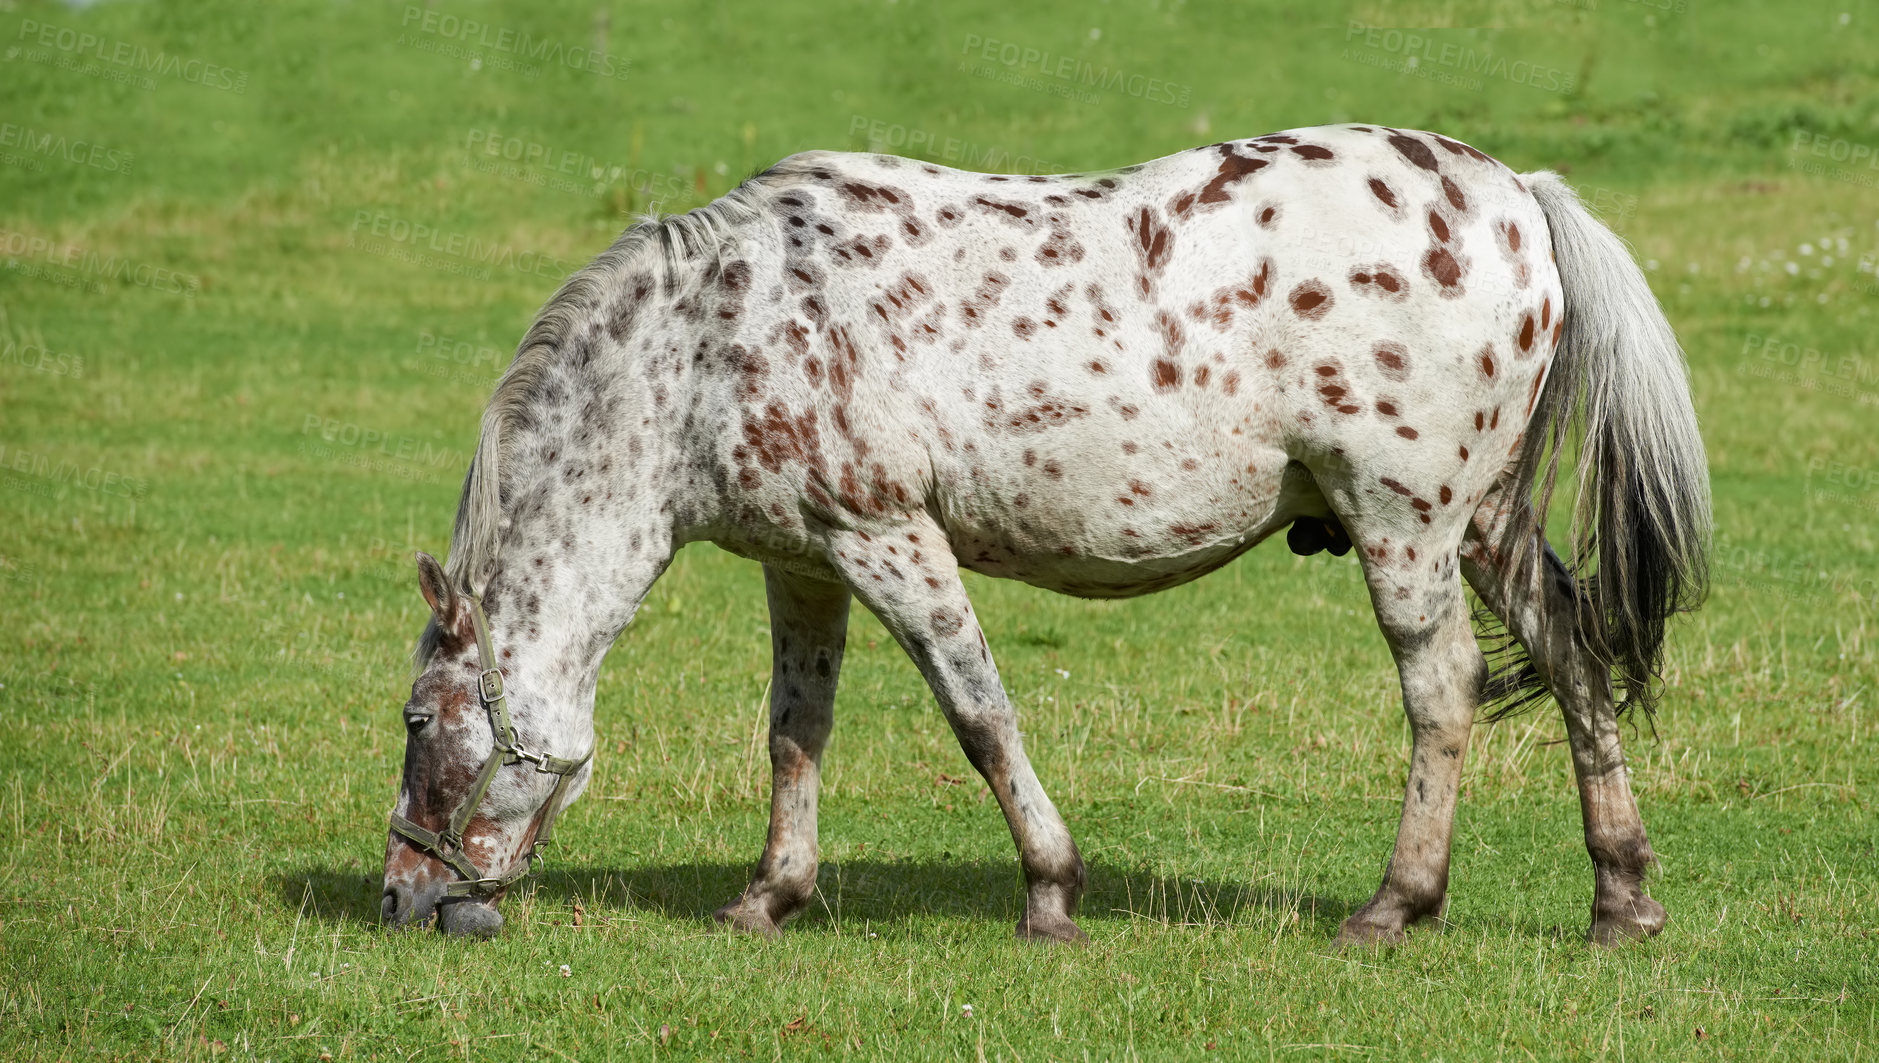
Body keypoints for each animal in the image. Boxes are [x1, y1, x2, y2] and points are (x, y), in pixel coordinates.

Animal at [380, 124, 1709, 945]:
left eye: (415, 723)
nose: (402, 898)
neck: (707, 344)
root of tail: (1516, 197)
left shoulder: (887, 538)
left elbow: (979, 714)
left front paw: (1051, 893)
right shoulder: (803, 566)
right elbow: (794, 732)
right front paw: (770, 895)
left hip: (1404, 526)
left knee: (1441, 693)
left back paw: (1396, 903)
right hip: (1480, 522)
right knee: (1575, 649)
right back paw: (1621, 895)